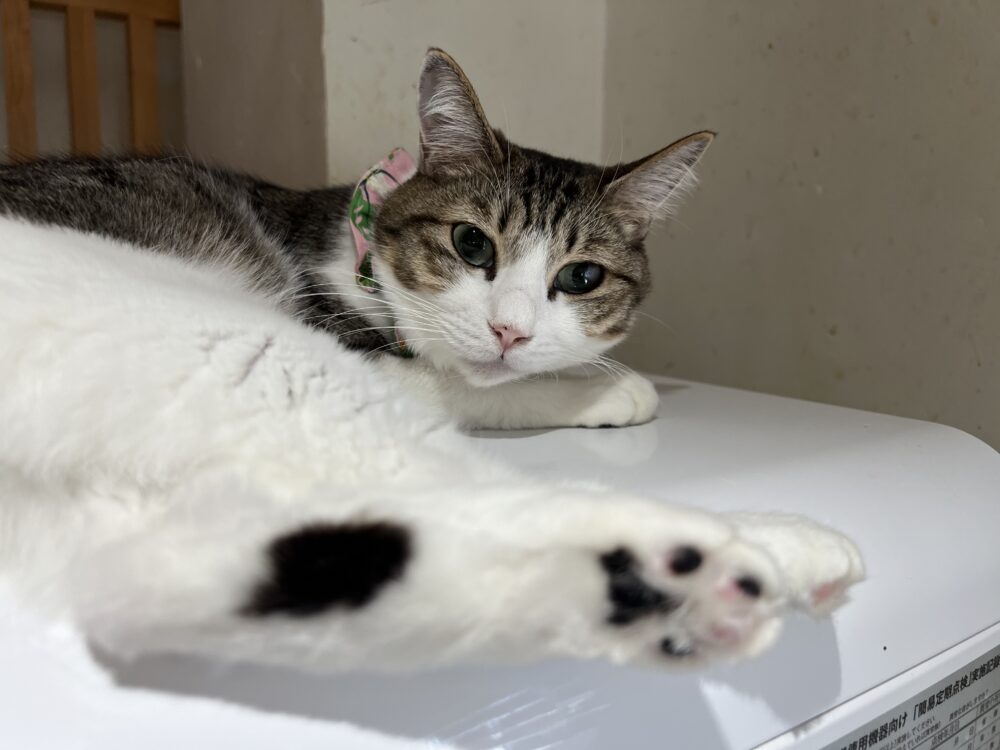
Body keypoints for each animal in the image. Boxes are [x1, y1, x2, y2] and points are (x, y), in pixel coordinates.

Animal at [0, 48, 863, 673]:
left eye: (581, 277)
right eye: (471, 244)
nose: (510, 331)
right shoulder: (369, 357)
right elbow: (477, 386)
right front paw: (606, 389)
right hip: (238, 342)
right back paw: (760, 552)